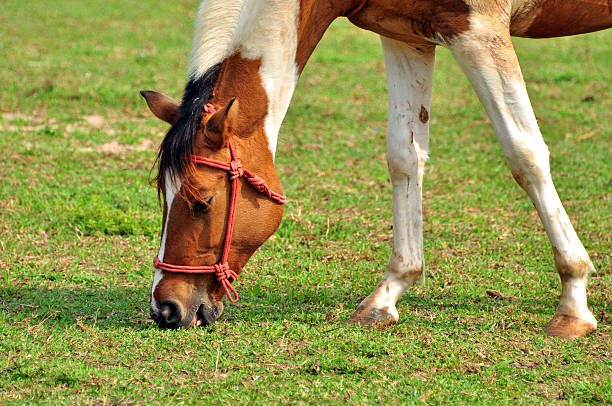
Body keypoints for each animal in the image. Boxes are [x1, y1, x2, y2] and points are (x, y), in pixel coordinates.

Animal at [141, 0, 608, 336]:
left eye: (203, 202)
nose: (165, 308)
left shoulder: (477, 30)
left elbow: (524, 152)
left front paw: (573, 301)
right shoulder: (406, 33)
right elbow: (404, 156)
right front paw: (388, 293)